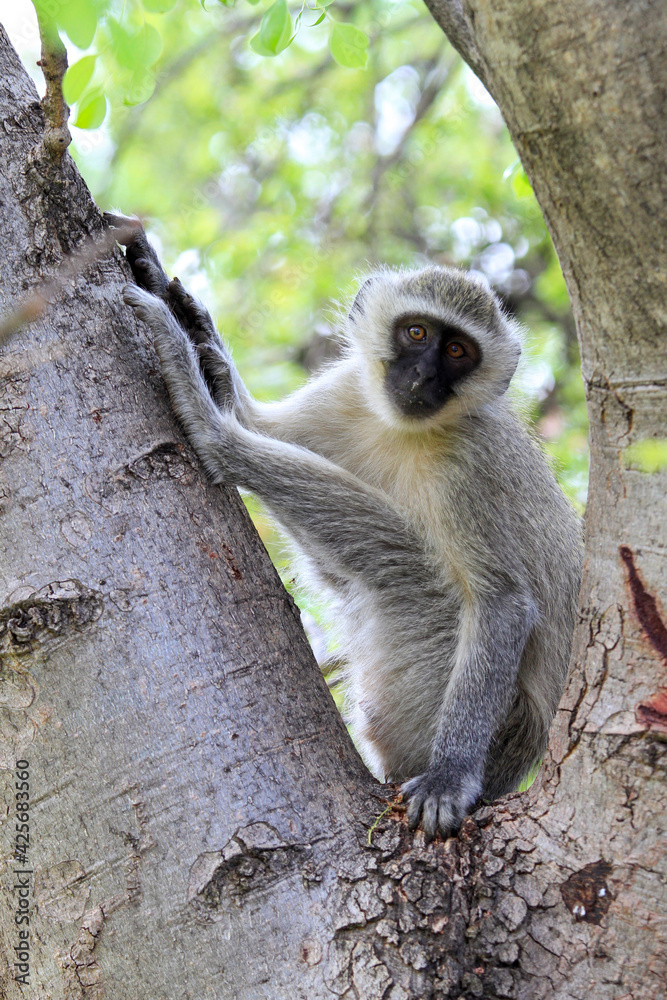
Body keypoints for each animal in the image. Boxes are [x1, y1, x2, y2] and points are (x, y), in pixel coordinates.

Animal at [106, 213, 583, 840]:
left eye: (458, 351)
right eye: (416, 334)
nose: (422, 376)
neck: (403, 430)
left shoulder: (469, 464)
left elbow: (504, 603)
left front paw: (450, 775)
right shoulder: (342, 395)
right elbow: (267, 422)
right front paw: (191, 322)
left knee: (410, 573)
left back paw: (214, 433)